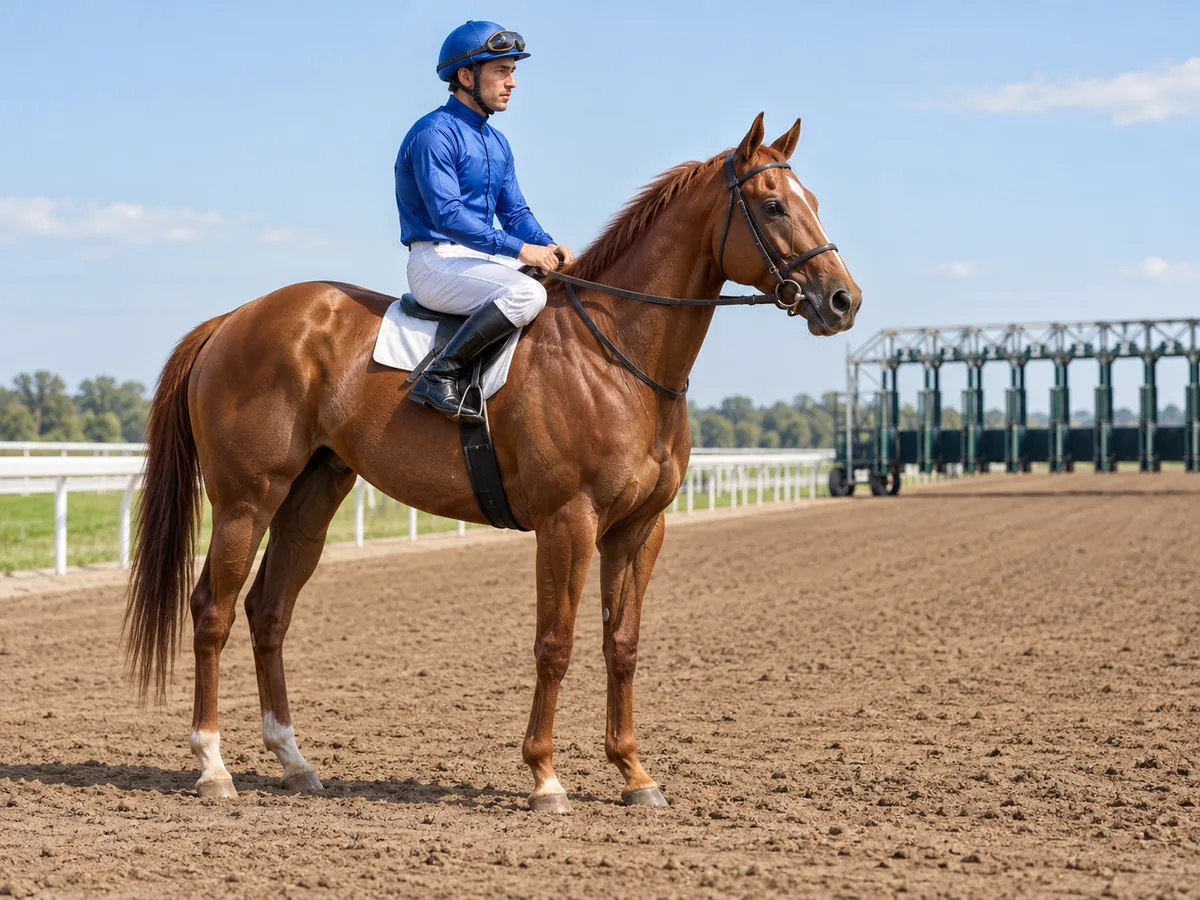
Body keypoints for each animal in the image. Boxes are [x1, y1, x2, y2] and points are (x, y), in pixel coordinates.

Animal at [123, 113, 862, 812]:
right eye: (773, 205)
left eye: (814, 200)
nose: (843, 300)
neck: (618, 355)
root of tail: (233, 318)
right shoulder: (568, 522)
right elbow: (554, 643)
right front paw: (546, 777)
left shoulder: (639, 529)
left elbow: (621, 644)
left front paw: (635, 774)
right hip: (247, 499)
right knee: (212, 611)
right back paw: (213, 766)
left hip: (311, 498)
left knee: (268, 611)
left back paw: (295, 763)